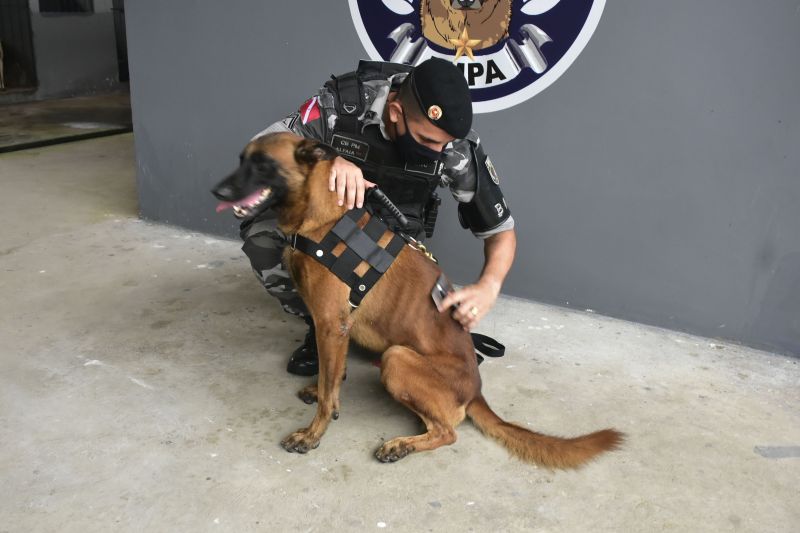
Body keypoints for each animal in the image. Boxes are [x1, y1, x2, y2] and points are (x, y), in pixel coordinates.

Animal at [212, 132, 624, 466]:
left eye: (263, 164)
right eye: (241, 159)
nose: (217, 192)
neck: (321, 217)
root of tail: (476, 391)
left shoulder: (331, 323)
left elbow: (330, 396)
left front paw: (313, 434)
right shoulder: (332, 326)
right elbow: (332, 377)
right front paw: (323, 387)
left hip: (396, 359)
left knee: (450, 431)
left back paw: (401, 445)